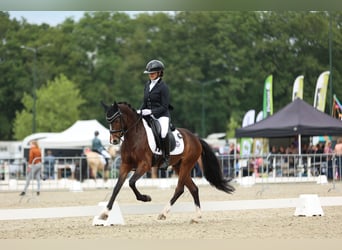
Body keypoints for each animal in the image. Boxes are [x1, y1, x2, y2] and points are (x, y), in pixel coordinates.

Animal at [97, 100, 234, 222]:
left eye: (116, 120)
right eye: (108, 121)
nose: (114, 140)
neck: (134, 137)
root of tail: (196, 138)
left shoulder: (144, 165)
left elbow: (131, 182)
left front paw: (146, 198)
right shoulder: (125, 165)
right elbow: (116, 188)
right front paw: (104, 213)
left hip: (186, 164)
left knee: (180, 189)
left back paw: (163, 213)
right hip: (179, 166)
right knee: (193, 188)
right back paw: (197, 216)